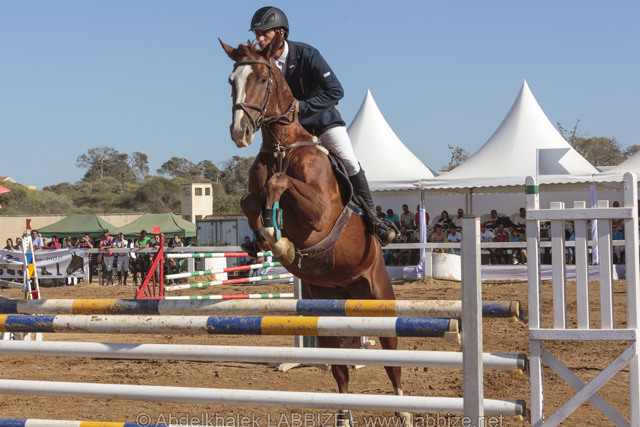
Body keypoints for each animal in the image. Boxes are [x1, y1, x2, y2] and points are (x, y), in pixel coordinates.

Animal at [220, 34, 409, 426]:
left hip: (380, 299)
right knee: (340, 370)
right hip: (327, 311)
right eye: (231, 81)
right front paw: (267, 240)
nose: (239, 133)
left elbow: (278, 184)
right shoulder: (257, 194)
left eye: (263, 79)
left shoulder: (320, 214)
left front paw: (281, 243)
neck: (282, 147)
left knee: (392, 361)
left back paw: (404, 411)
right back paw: (343, 416)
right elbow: (251, 201)